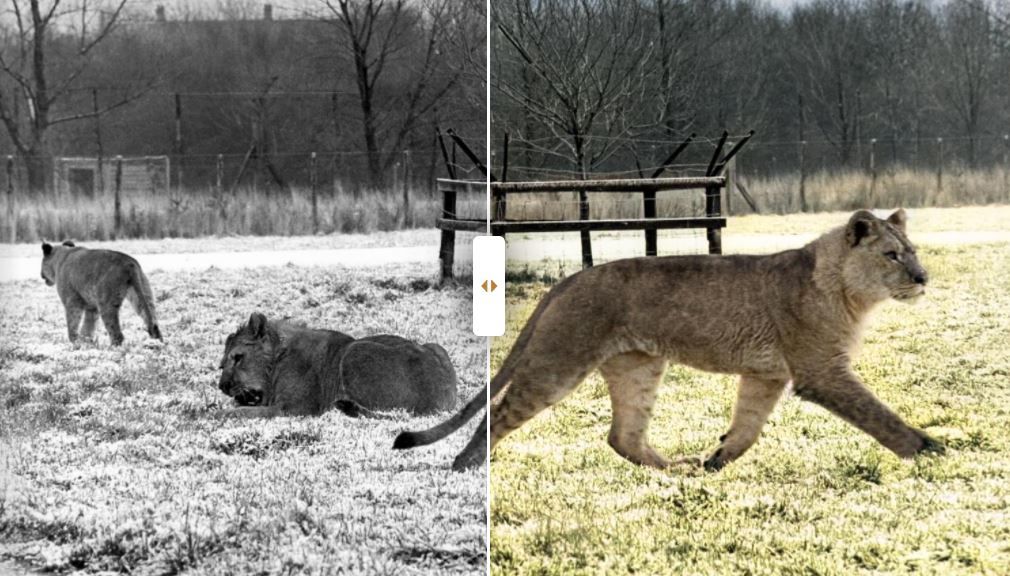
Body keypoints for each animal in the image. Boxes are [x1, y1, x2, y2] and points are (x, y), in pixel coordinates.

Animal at [217, 312, 459, 418]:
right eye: (221, 365)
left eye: (237, 357)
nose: (222, 386)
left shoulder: (296, 408)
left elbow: (240, 413)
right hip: (436, 347)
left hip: (354, 350)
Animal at [396, 209, 944, 471]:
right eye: (892, 255)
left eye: (914, 251)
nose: (923, 278)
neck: (850, 293)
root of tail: (570, 280)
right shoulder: (821, 371)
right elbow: (877, 414)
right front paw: (927, 449)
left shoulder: (765, 375)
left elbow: (748, 425)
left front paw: (717, 460)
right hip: (559, 362)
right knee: (500, 411)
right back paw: (466, 464)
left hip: (638, 366)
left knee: (623, 436)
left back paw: (676, 469)